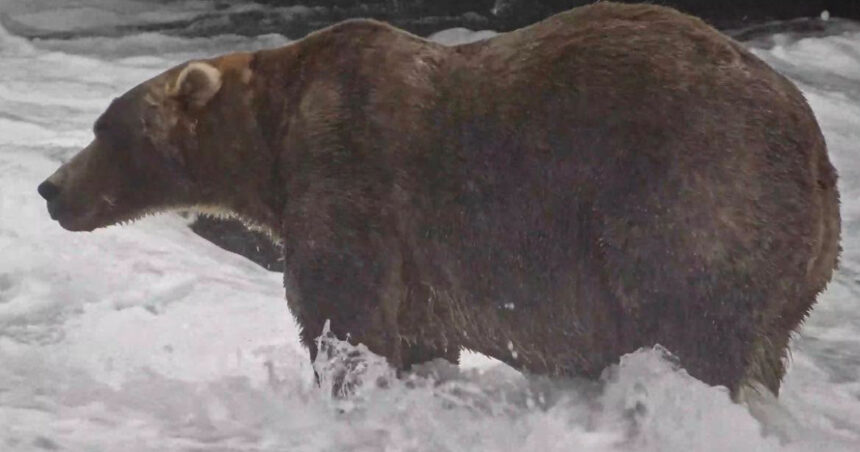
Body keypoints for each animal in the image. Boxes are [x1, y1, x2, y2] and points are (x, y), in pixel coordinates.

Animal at [38, 2, 840, 398]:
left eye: (104, 128)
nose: (50, 188)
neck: (272, 142)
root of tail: (817, 152)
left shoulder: (351, 172)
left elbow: (342, 312)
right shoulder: (420, 263)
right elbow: (418, 334)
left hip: (692, 193)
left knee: (690, 323)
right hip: (794, 269)